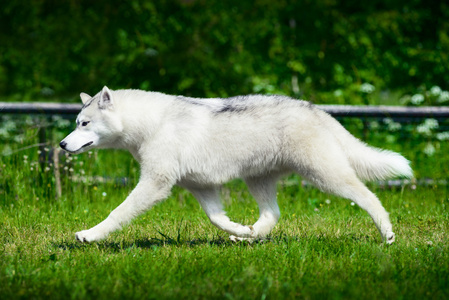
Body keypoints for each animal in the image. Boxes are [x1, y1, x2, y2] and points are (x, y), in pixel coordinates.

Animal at [61, 86, 412, 244]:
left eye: (84, 123)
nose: (63, 144)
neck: (150, 124)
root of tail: (316, 110)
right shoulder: (201, 187)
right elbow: (217, 219)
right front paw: (240, 231)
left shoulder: (155, 184)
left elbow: (116, 213)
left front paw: (90, 235)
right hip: (258, 181)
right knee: (272, 215)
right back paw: (250, 237)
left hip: (326, 176)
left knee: (368, 196)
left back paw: (387, 233)